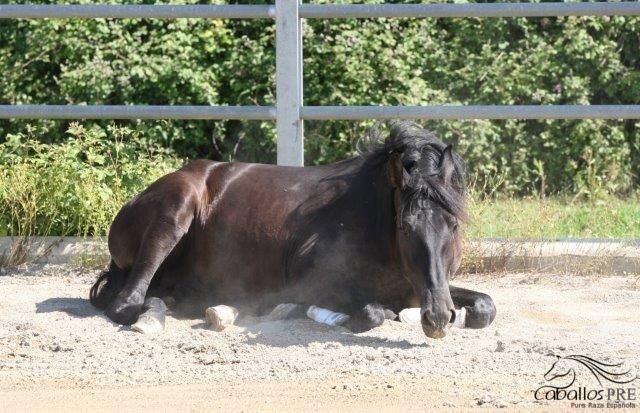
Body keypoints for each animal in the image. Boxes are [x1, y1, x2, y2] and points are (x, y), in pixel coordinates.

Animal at [89, 122, 496, 338]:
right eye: (405, 225)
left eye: (453, 224)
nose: (438, 318)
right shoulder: (313, 281)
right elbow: (371, 312)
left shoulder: (424, 286)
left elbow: (485, 306)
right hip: (175, 210)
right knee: (127, 302)